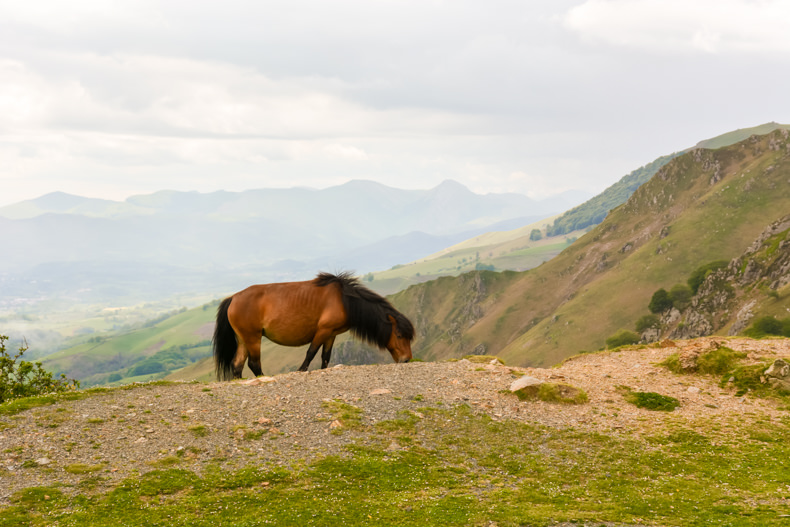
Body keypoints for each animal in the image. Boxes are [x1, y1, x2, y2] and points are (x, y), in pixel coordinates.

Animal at [213, 272, 418, 380]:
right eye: (399, 335)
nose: (406, 359)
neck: (343, 300)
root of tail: (233, 298)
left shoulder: (331, 334)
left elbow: (325, 357)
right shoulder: (323, 331)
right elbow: (311, 352)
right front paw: (301, 370)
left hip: (243, 339)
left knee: (237, 364)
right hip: (253, 338)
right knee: (254, 364)